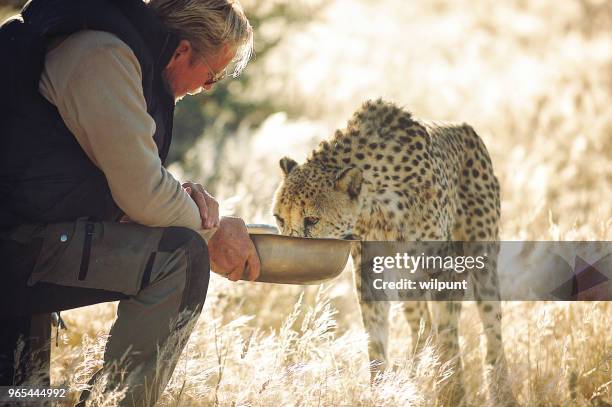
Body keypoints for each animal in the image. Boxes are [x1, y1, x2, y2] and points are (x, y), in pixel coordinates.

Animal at [272, 99, 516, 407]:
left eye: (312, 220)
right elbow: (375, 338)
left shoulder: (442, 266)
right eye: (279, 218)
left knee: (491, 326)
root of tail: (466, 129)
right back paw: (417, 372)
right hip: (408, 279)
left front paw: (451, 392)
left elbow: (449, 334)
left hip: (481, 259)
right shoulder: (368, 269)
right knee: (423, 325)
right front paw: (381, 389)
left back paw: (500, 390)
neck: (374, 201)